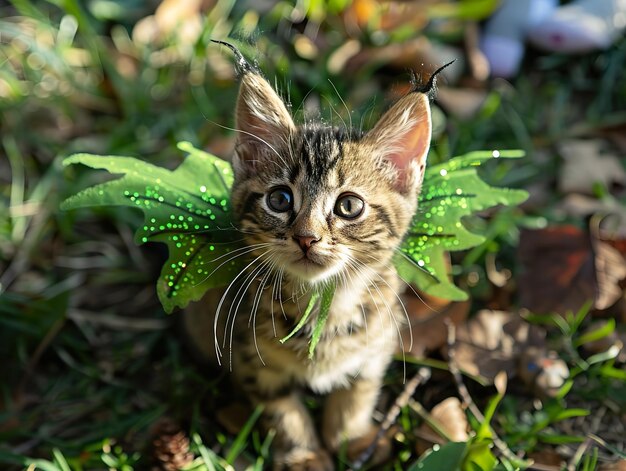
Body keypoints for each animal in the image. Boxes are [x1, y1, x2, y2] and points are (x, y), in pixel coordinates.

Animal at [183, 45, 432, 471]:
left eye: (349, 206)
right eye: (280, 199)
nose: (306, 238)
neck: (323, 304)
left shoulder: (375, 346)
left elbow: (357, 394)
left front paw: (352, 438)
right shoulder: (252, 360)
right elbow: (281, 411)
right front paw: (303, 454)